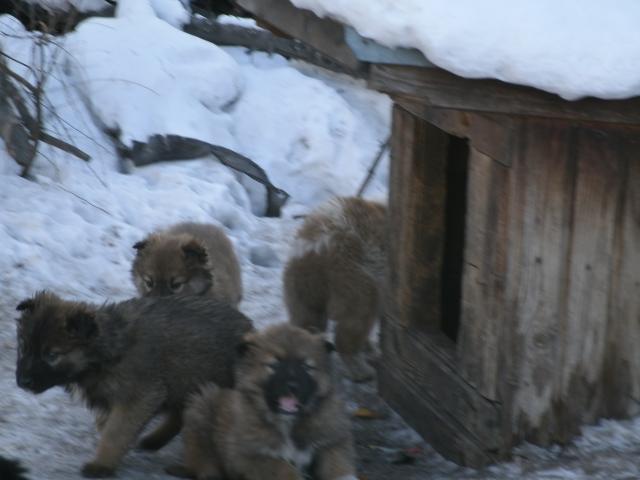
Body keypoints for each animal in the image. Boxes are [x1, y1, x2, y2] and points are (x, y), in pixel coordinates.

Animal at [14, 290, 252, 478]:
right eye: (24, 347)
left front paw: (102, 463)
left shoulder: (139, 396)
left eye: (52, 355)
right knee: (179, 416)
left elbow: (116, 432)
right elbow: (109, 427)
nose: (23, 382)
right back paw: (154, 441)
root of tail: (249, 328)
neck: (106, 350)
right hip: (184, 382)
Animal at [170, 322, 358, 480]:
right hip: (201, 404)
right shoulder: (246, 456)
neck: (288, 423)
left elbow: (338, 465)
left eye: (306, 367)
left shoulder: (333, 441)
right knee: (203, 461)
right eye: (274, 365)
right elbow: (282, 467)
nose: (293, 386)